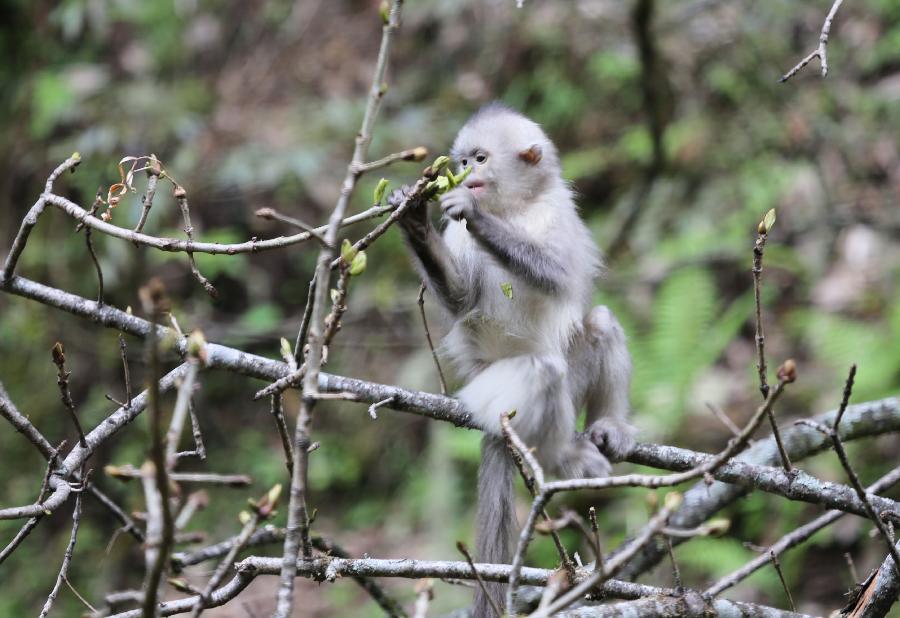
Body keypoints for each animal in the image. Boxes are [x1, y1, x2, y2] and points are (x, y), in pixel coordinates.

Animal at [388, 103, 632, 612]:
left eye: (479, 159)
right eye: (462, 161)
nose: (465, 173)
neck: (514, 209)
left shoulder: (559, 211)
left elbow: (559, 276)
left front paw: (475, 216)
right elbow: (463, 300)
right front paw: (415, 219)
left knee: (597, 323)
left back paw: (606, 429)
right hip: (490, 391)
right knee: (545, 371)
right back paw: (562, 458)